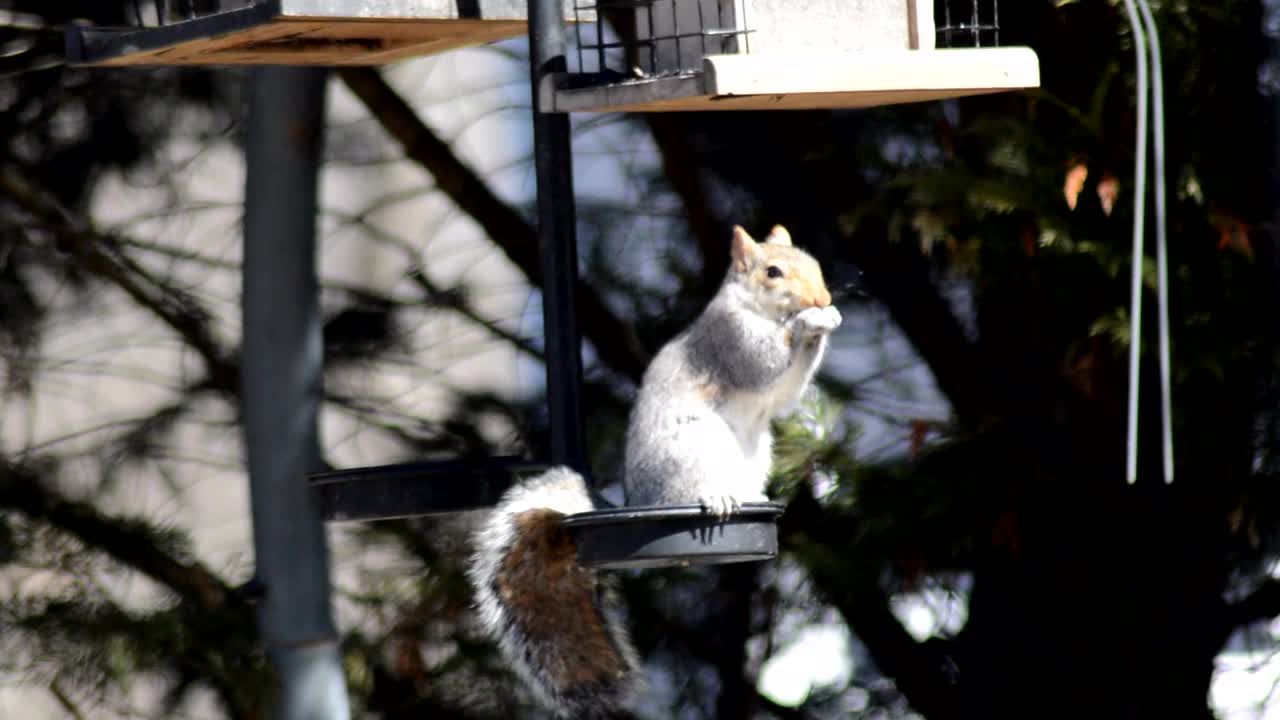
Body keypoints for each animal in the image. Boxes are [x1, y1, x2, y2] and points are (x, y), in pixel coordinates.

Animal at [468, 222, 839, 712]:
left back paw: (751, 496)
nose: (822, 297)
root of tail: (639, 499)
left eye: (815, 264)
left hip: (755, 452)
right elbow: (765, 365)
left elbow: (786, 392)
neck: (754, 309)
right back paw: (716, 498)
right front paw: (810, 323)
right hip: (695, 448)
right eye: (773, 272)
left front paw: (828, 318)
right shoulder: (730, 340)